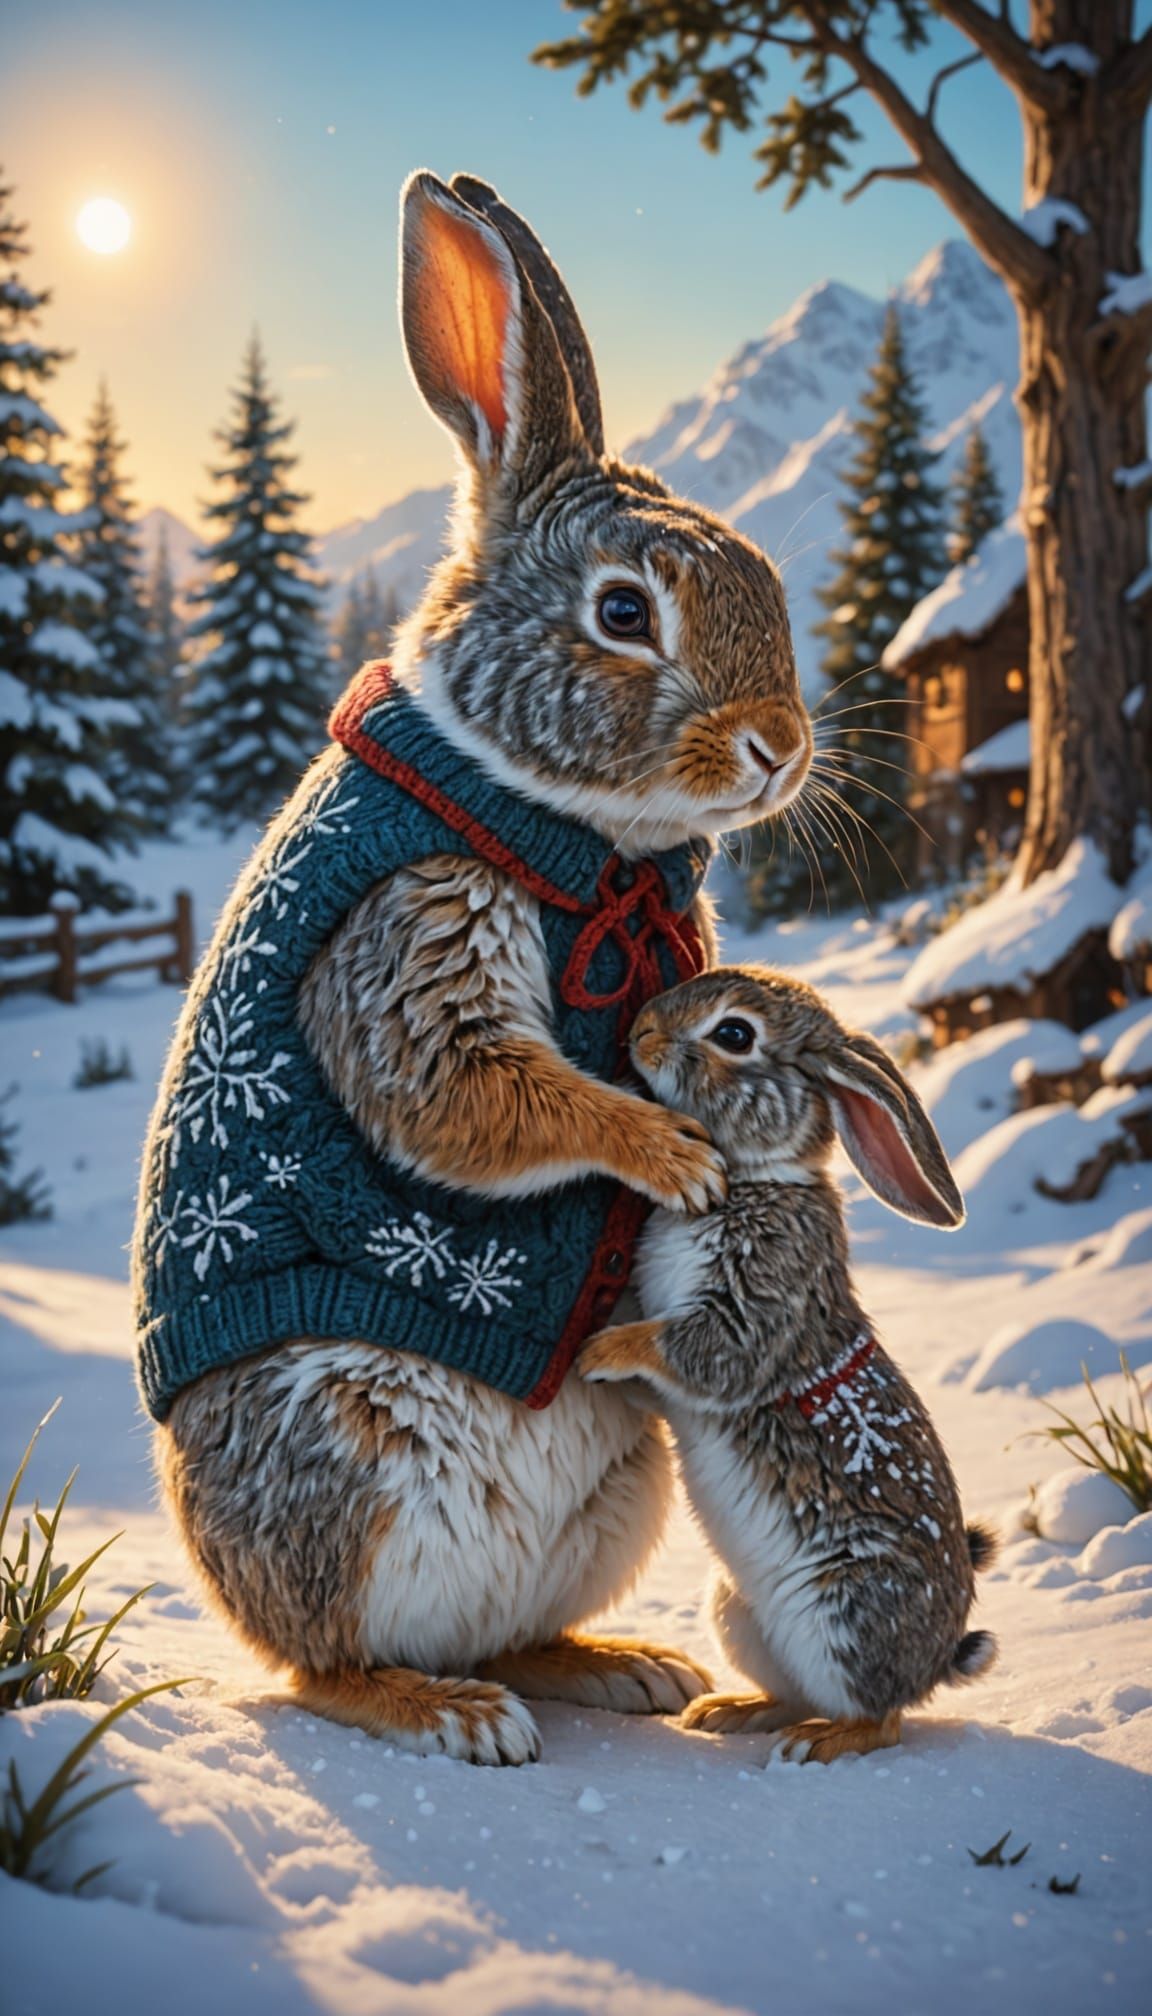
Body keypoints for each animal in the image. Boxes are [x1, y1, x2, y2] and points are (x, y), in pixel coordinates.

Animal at [150, 169, 815, 1766]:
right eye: (626, 613)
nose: (782, 747)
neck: (558, 821)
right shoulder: (411, 927)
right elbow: (473, 1096)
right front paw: (677, 1156)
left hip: (619, 1484)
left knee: (515, 1625)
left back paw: (620, 1671)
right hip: (335, 1459)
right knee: (320, 1664)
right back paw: (453, 1712)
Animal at [578, 966, 998, 1765]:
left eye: (735, 1033)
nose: (641, 1032)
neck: (754, 1178)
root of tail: (939, 1660)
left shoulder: (757, 1301)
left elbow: (693, 1350)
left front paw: (597, 1353)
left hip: (845, 1611)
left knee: (881, 1718)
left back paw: (818, 1743)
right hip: (737, 1610)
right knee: (794, 1690)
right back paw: (731, 1712)